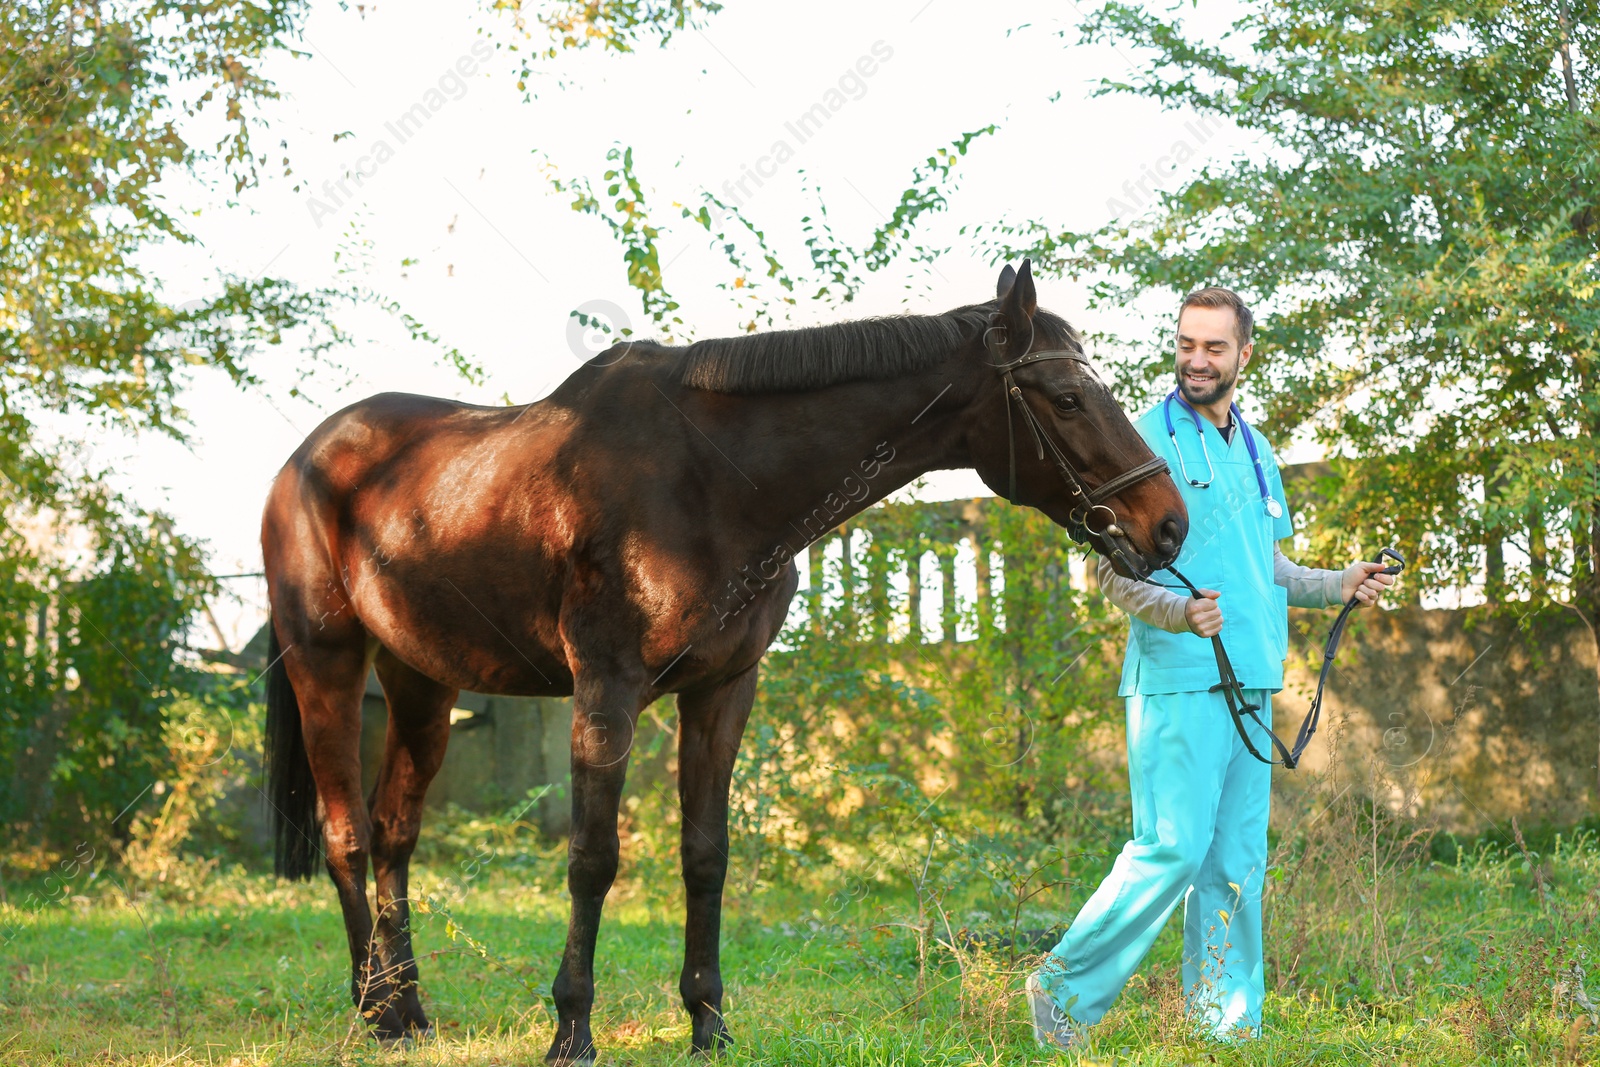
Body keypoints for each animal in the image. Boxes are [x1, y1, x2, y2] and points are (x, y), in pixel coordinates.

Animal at [259, 255, 1190, 1062]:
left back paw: (410, 1007)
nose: (1169, 524)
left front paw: (708, 1019)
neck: (711, 477)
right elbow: (593, 858)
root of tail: (302, 459)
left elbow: (706, 854)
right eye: (1067, 398)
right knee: (348, 834)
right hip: (327, 664)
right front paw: (572, 1030)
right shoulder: (606, 691)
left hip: (419, 679)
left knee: (395, 832)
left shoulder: (722, 690)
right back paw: (373, 1009)